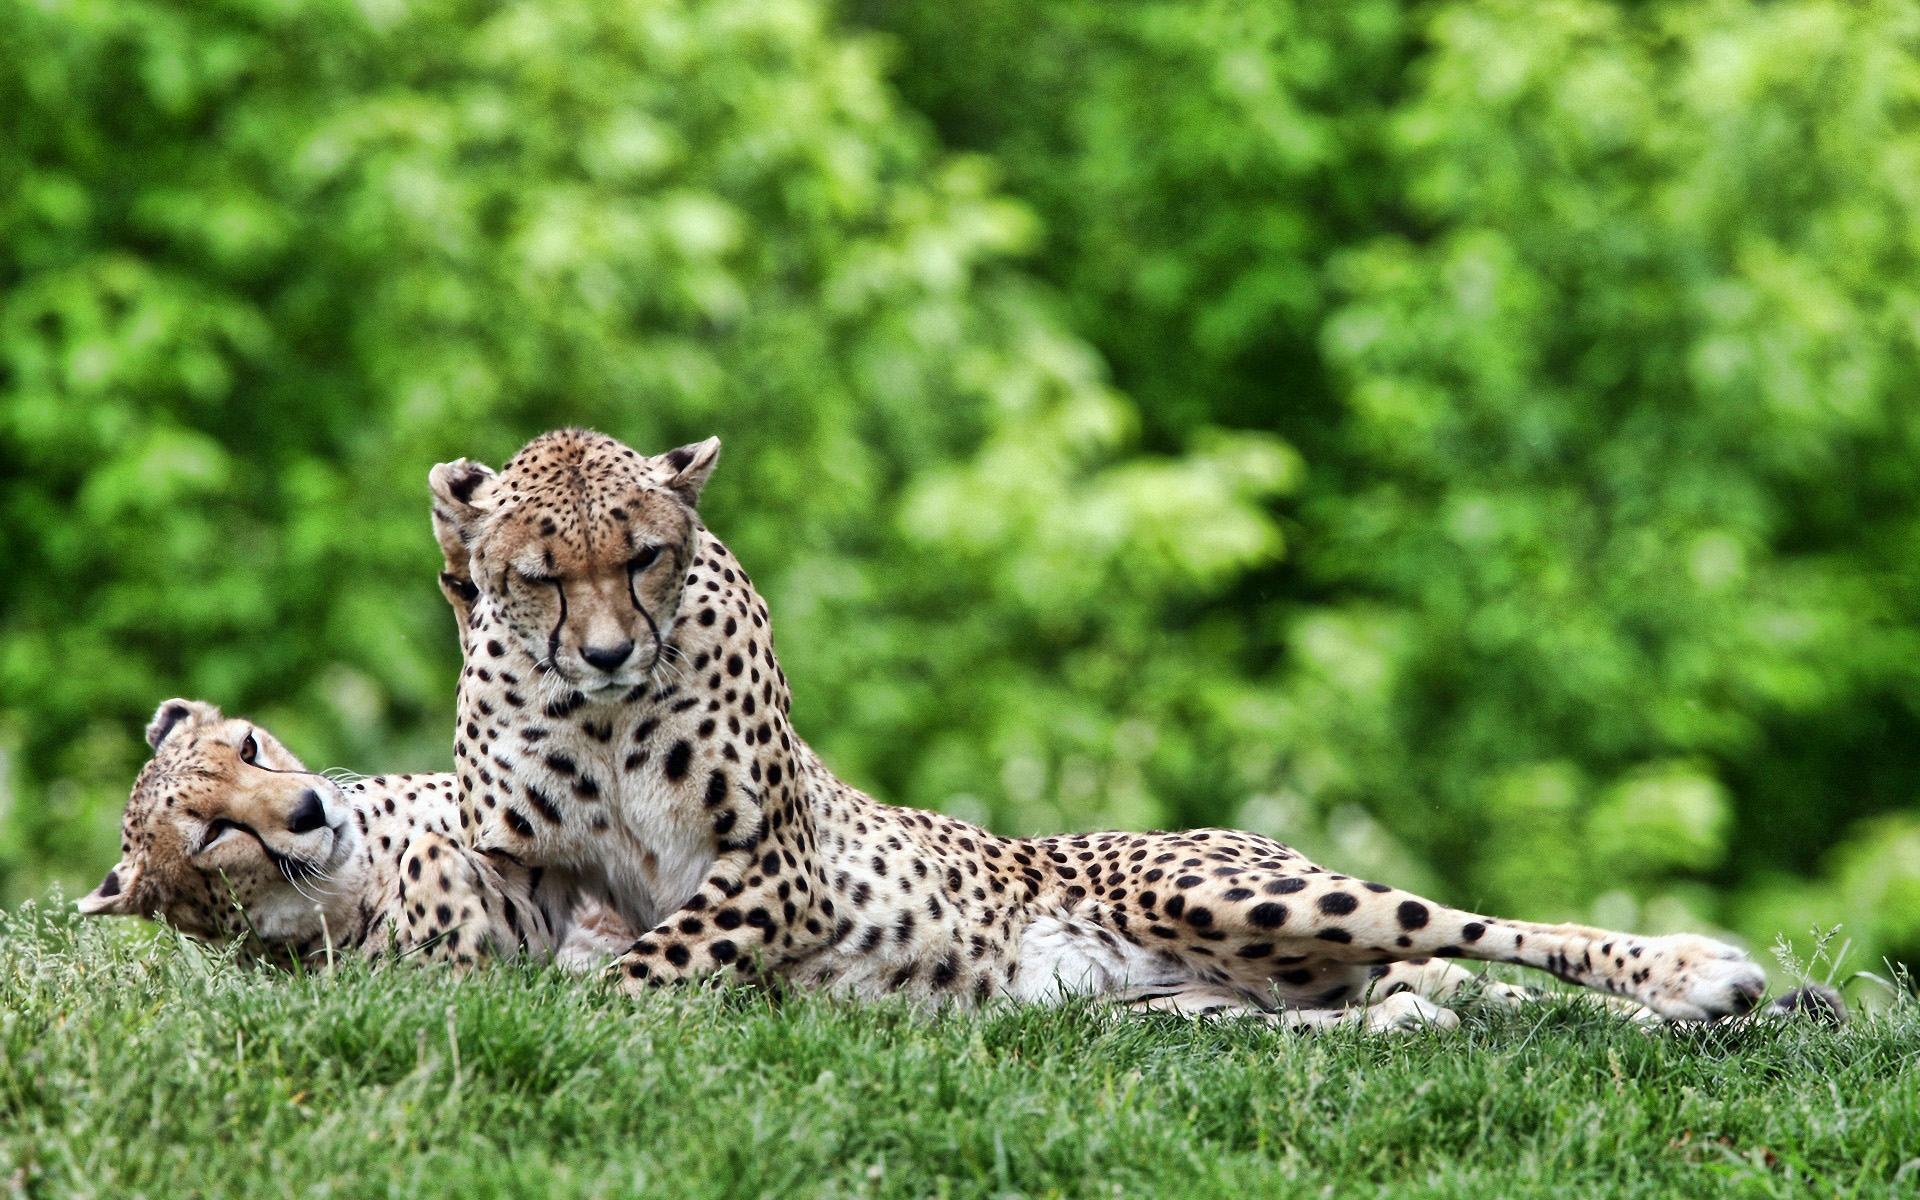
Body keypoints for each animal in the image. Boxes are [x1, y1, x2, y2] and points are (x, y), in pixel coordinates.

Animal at [428, 430, 1820, 1029]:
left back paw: (1696, 978)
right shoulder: (524, 860)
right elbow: (517, 918)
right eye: (540, 574)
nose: (609, 651)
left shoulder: (778, 866)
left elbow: (644, 965)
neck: (606, 717)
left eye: (647, 557)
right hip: (1161, 1002)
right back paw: (1405, 1022)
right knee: (1357, 1006)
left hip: (1229, 895)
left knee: (1472, 929)